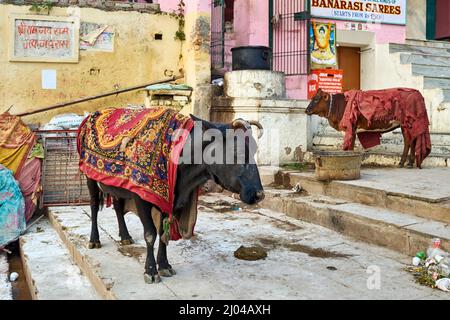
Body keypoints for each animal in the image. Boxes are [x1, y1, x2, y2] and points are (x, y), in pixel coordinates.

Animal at [83, 115, 264, 282]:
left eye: (255, 151)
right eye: (237, 152)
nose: (259, 194)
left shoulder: (168, 201)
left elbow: (163, 233)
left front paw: (164, 265)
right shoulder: (140, 197)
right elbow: (150, 234)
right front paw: (150, 270)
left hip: (116, 186)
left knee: (118, 206)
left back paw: (125, 236)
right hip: (89, 177)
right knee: (94, 206)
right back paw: (94, 240)